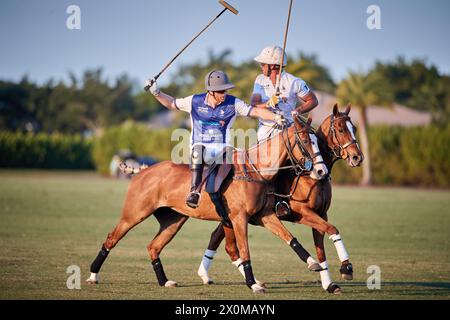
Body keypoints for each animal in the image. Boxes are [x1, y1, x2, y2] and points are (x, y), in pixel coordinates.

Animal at [86, 115, 328, 292]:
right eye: (306, 141)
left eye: (317, 141)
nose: (321, 171)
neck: (256, 170)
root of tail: (144, 170)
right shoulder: (239, 219)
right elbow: (244, 250)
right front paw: (253, 284)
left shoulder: (265, 216)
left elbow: (290, 237)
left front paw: (313, 263)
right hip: (134, 214)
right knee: (111, 238)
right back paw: (93, 275)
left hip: (173, 220)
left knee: (153, 246)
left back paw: (165, 281)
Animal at [198, 104, 366, 294]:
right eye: (340, 129)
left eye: (354, 129)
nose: (357, 157)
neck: (312, 176)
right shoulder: (303, 212)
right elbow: (332, 229)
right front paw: (346, 268)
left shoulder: (321, 213)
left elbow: (321, 248)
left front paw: (329, 284)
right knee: (222, 241)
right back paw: (206, 275)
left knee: (221, 240)